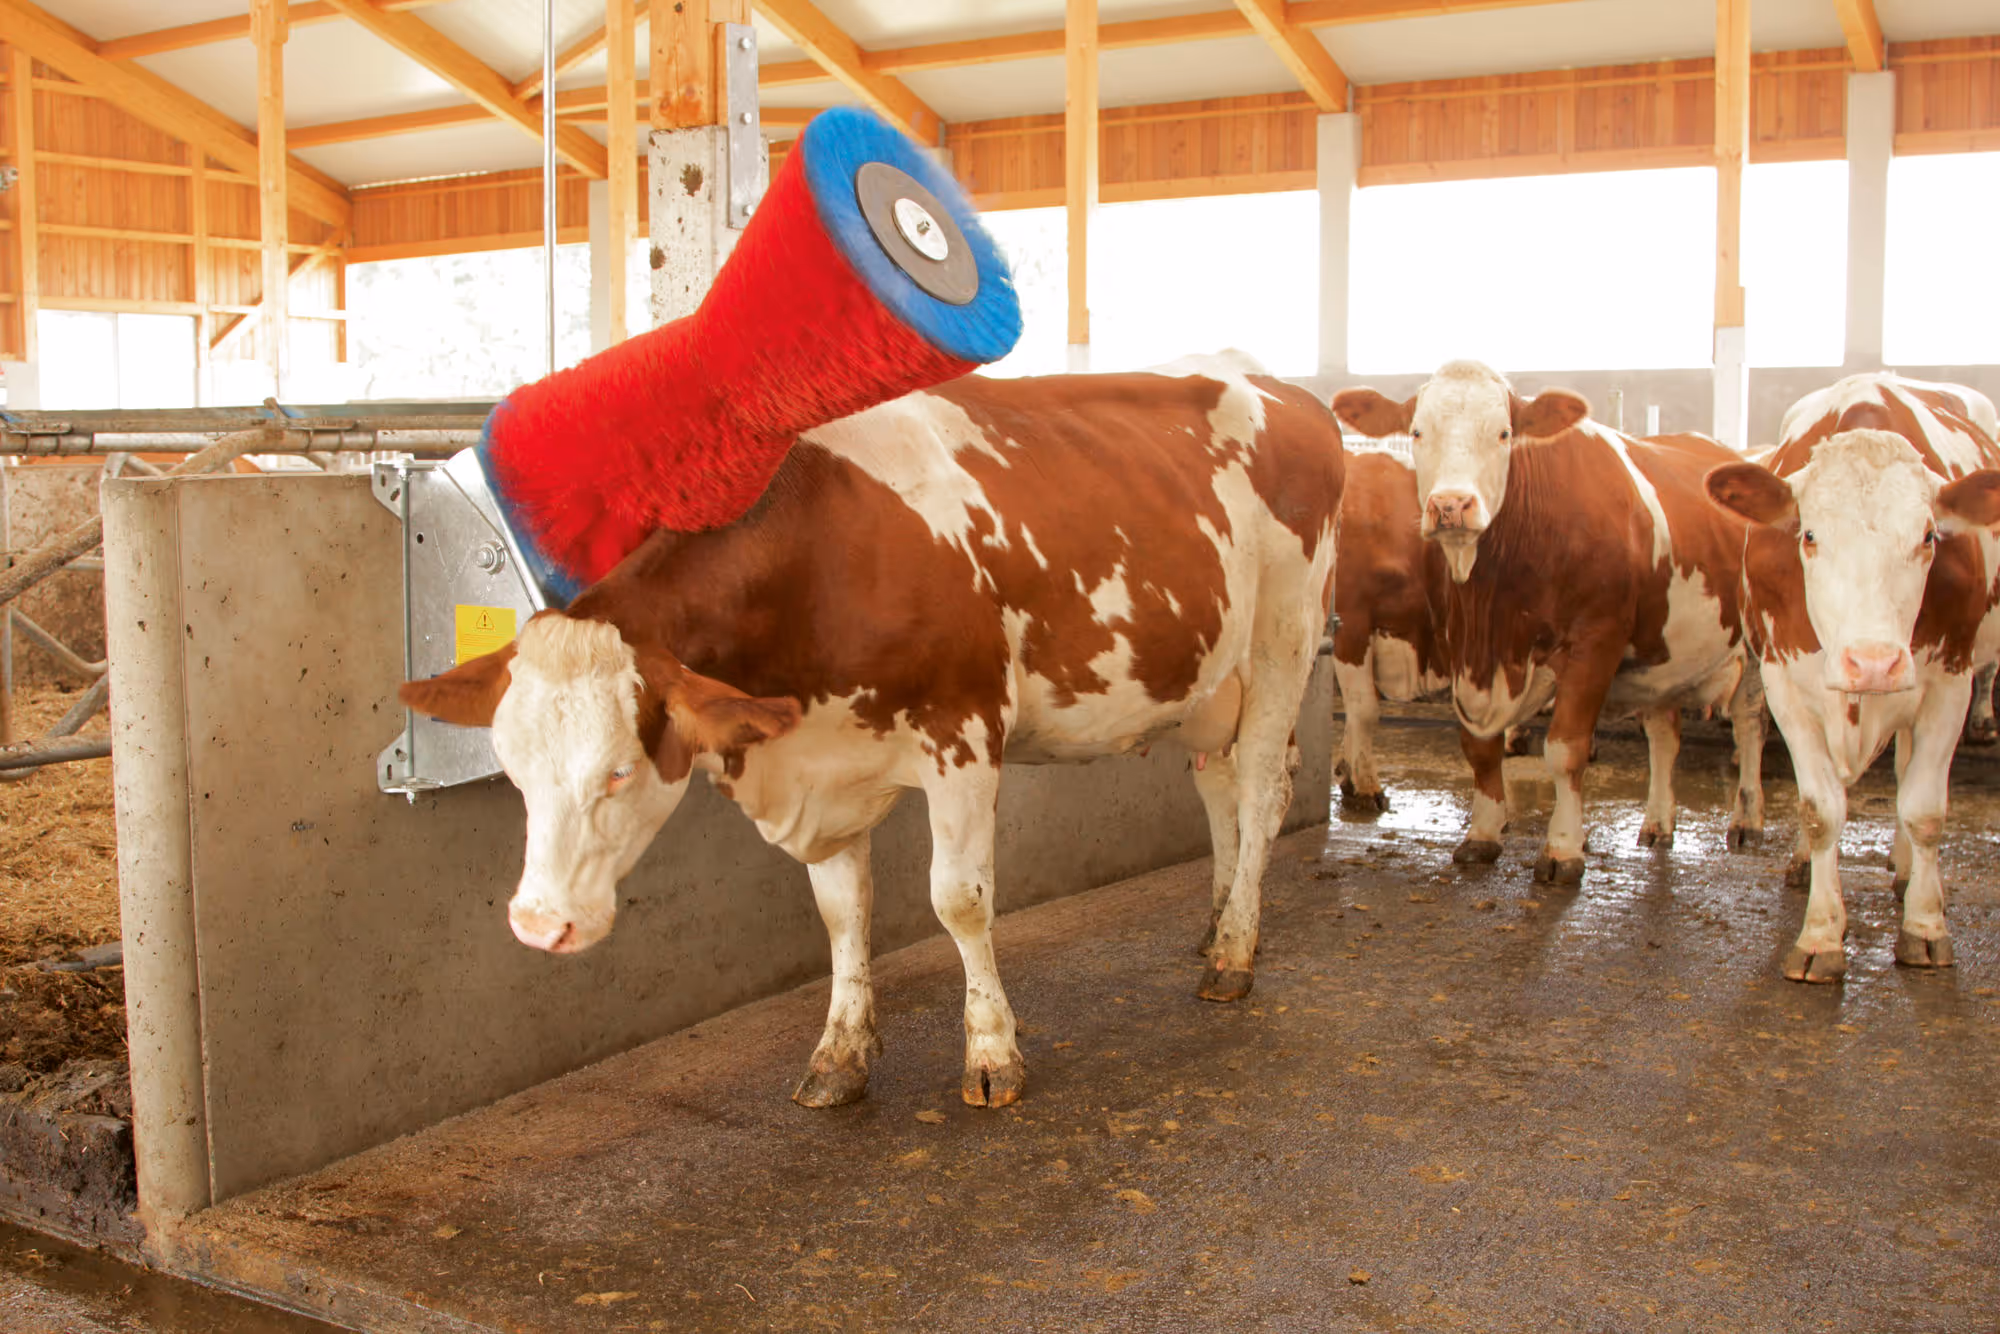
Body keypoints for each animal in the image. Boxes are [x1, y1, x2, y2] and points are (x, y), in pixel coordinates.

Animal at [398, 357, 1344, 1109]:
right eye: (514, 771)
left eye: (620, 772)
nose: (538, 924)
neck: (824, 556)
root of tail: (1282, 387)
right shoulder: (820, 761)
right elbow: (840, 909)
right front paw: (839, 1053)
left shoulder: (964, 734)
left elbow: (958, 900)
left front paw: (992, 1054)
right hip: (1208, 678)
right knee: (1217, 785)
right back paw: (1219, 921)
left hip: (1285, 640)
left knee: (1261, 790)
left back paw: (1233, 956)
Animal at [1706, 373, 2000, 981]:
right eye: (1809, 535)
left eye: (1929, 536)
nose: (1872, 663)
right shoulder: (1785, 685)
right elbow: (1820, 811)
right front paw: (1820, 935)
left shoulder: (1950, 684)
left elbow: (1925, 810)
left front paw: (1925, 927)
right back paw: (1803, 863)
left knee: (1909, 773)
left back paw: (1907, 871)